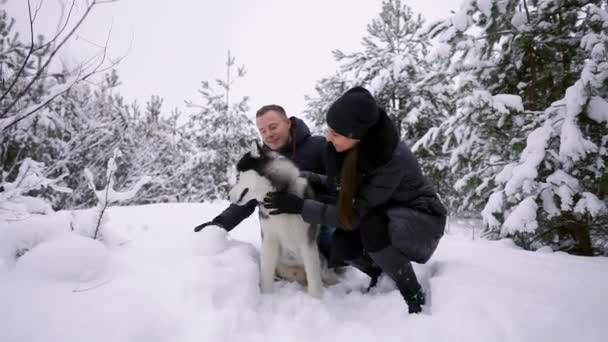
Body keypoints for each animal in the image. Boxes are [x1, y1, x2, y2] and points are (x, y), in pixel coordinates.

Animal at [230, 143, 338, 298]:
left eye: (238, 176)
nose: (229, 196)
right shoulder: (269, 240)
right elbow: (266, 274)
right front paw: (266, 296)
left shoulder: (307, 242)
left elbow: (314, 279)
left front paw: (317, 299)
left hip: (322, 264)